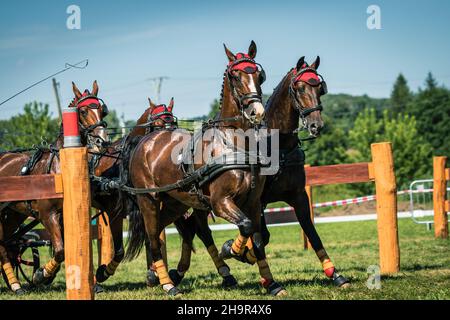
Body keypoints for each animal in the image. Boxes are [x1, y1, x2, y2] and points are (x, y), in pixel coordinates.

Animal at [0, 81, 108, 294]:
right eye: (83, 111)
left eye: (102, 110)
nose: (101, 140)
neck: (59, 169)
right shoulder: (47, 215)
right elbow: (60, 250)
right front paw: (41, 275)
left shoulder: (64, 217)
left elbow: (68, 248)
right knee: (1, 247)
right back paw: (16, 285)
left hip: (14, 214)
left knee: (8, 244)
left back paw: (15, 282)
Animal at [124, 41, 284, 296]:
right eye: (235, 76)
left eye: (260, 75)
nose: (256, 112)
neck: (233, 144)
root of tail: (145, 140)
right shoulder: (221, 202)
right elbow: (246, 226)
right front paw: (231, 250)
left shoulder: (253, 202)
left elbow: (258, 238)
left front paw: (272, 283)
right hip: (148, 199)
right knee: (153, 235)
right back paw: (168, 284)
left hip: (176, 202)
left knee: (169, 230)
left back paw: (156, 275)